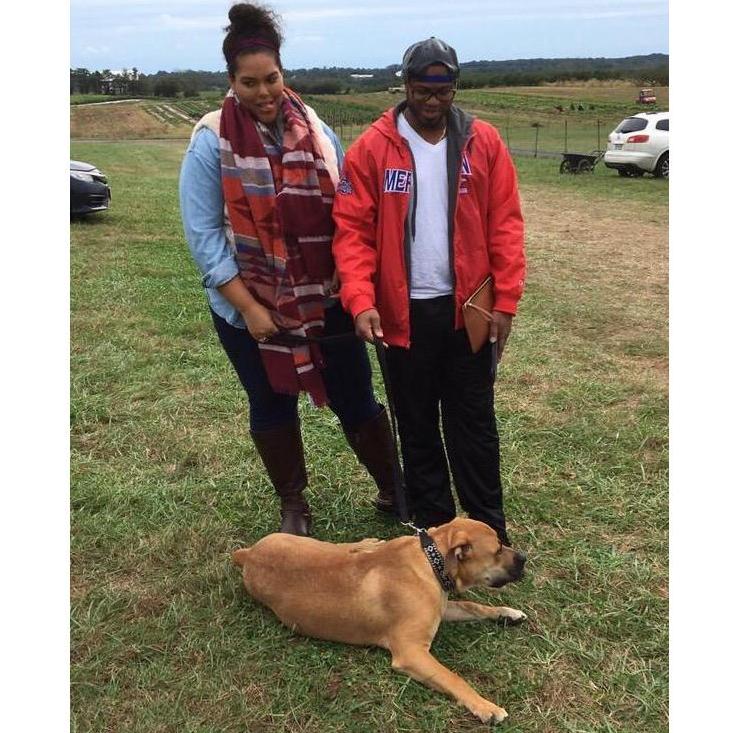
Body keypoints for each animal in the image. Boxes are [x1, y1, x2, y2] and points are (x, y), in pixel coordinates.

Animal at [232, 516, 524, 724]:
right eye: (498, 549)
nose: (525, 558)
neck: (432, 560)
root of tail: (248, 554)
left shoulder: (442, 609)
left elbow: (471, 605)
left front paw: (507, 613)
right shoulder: (411, 652)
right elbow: (453, 678)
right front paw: (486, 707)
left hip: (308, 543)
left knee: (344, 548)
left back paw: (367, 545)